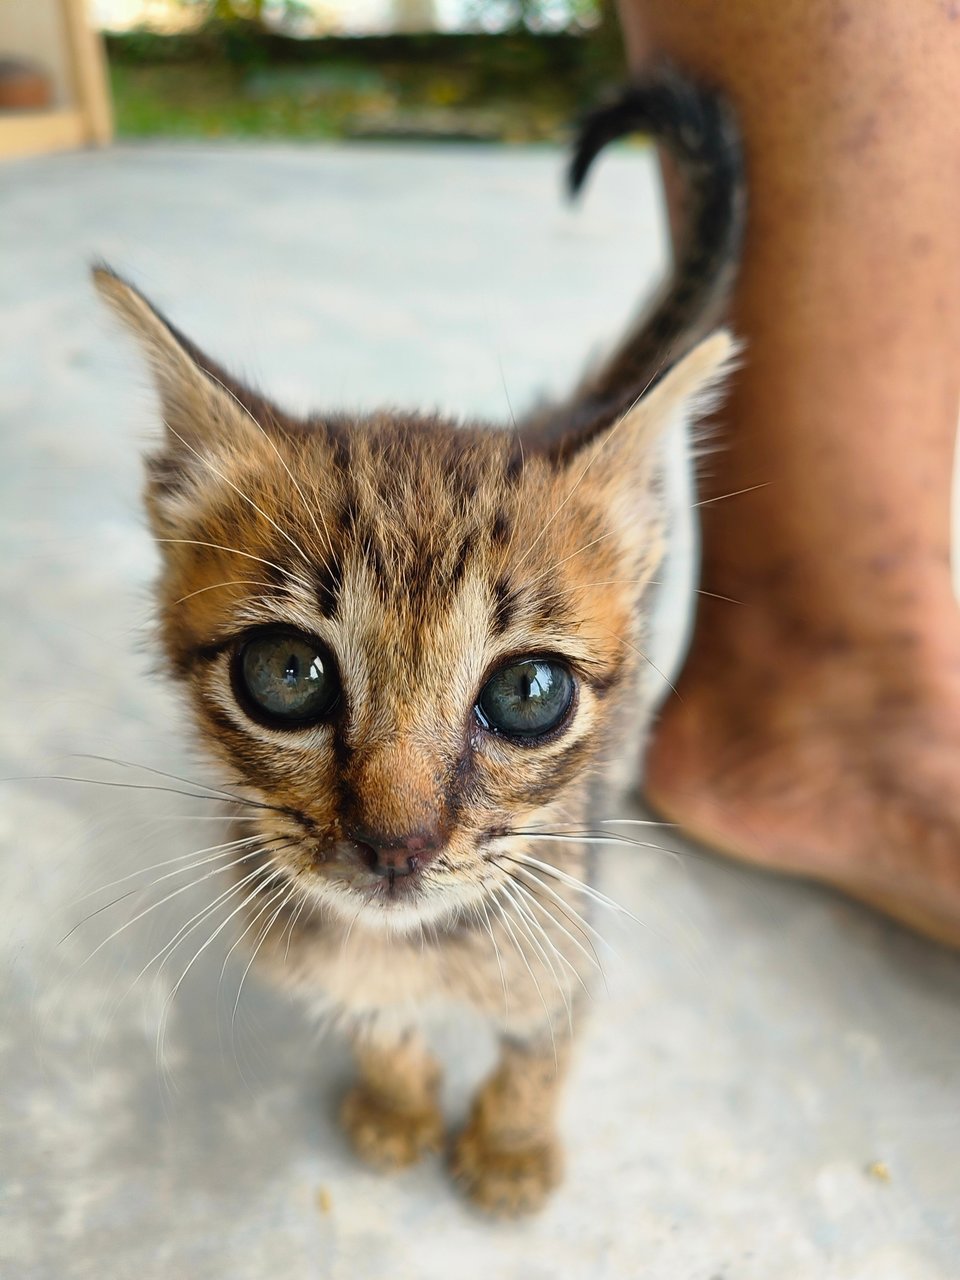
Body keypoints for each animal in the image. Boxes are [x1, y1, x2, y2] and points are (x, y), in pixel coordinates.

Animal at [94, 72, 747, 1218]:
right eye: (288, 673)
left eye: (529, 692)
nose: (396, 846)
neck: (407, 947)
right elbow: (380, 1022)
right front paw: (398, 1100)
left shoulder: (562, 946)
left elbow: (544, 1043)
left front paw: (512, 1145)